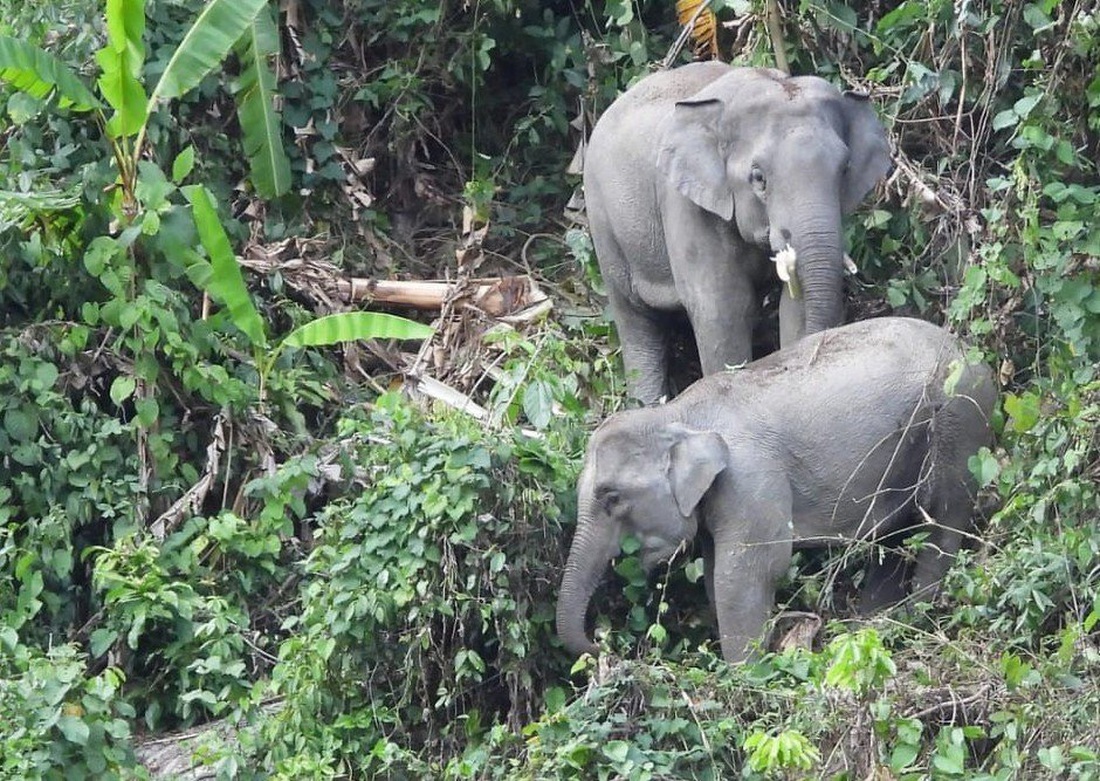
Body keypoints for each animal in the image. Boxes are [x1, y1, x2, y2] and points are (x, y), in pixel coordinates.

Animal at [558, 319, 998, 668]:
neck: (678, 414)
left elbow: (749, 571)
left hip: (958, 419)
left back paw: (914, 615)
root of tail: (974, 353)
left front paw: (747, 678)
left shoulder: (751, 478)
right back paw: (871, 626)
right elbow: (717, 572)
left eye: (611, 497)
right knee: (892, 536)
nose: (602, 647)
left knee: (943, 517)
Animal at [585, 61, 893, 404]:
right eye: (758, 177)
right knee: (635, 320)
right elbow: (722, 309)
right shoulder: (685, 205)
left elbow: (795, 305)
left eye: (845, 169)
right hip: (604, 221)